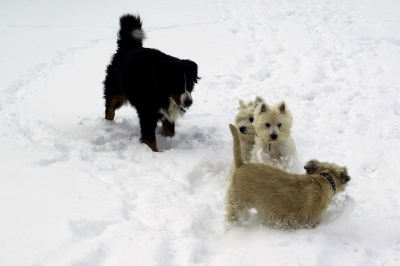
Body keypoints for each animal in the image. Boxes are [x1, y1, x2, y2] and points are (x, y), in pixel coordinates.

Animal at [101, 14, 198, 152]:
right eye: (176, 84)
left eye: (190, 84)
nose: (188, 102)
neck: (163, 92)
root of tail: (128, 47)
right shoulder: (147, 112)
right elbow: (150, 139)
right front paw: (154, 153)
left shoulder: (169, 111)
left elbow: (169, 131)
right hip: (115, 89)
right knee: (109, 108)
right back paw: (108, 124)